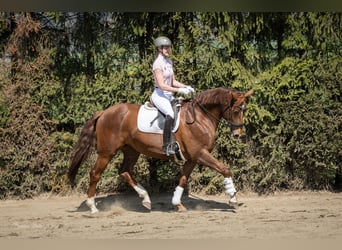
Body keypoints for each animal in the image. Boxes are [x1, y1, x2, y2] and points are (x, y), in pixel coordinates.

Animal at [68, 87, 252, 212]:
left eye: (245, 110)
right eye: (236, 110)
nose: (238, 134)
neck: (200, 117)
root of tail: (105, 112)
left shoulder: (192, 158)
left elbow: (183, 179)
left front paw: (178, 204)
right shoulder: (200, 154)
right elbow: (224, 169)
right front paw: (233, 198)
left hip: (131, 151)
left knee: (124, 171)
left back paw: (145, 199)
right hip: (107, 153)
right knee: (95, 174)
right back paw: (93, 207)